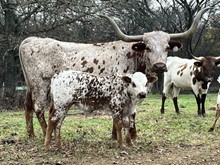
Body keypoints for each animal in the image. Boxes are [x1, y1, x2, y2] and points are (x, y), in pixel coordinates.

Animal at [19, 8, 210, 139]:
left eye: (166, 47)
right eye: (147, 47)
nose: (160, 65)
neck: (134, 58)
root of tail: (30, 40)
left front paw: (118, 135)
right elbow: (129, 113)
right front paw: (128, 135)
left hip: (30, 86)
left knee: (28, 107)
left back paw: (31, 134)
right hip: (41, 85)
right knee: (38, 108)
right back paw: (47, 134)